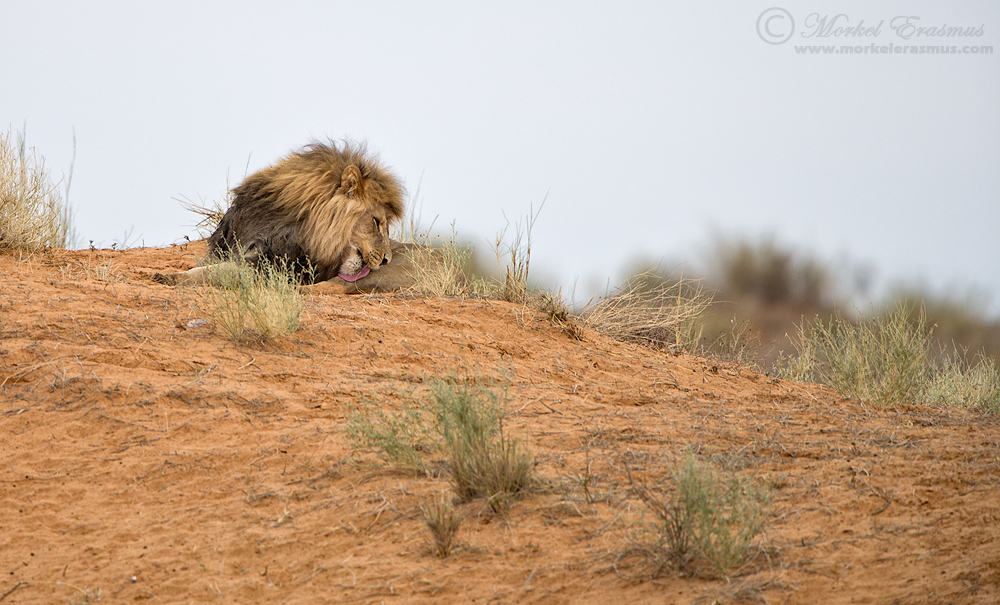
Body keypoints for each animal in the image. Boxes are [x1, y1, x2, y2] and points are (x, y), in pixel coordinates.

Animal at [154, 139, 404, 286]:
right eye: (376, 221)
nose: (386, 260)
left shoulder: (277, 268)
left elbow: (218, 271)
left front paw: (171, 278)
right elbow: (206, 266)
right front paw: (169, 275)